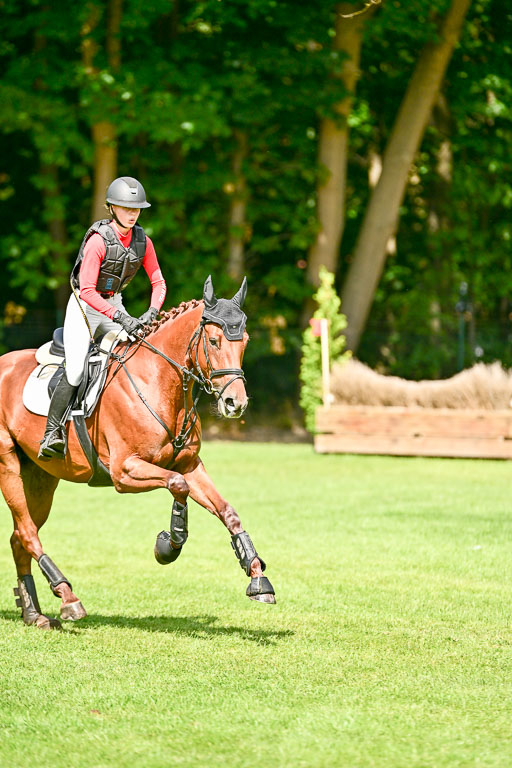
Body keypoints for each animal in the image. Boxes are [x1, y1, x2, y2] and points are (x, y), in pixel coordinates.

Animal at [0, 276, 275, 630]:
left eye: (245, 342)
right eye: (214, 341)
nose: (235, 404)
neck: (160, 383)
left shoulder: (189, 464)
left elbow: (226, 511)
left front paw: (257, 577)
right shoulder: (125, 471)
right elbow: (177, 485)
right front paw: (169, 545)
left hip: (40, 477)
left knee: (19, 536)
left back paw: (34, 613)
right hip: (8, 465)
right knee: (28, 532)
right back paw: (68, 597)